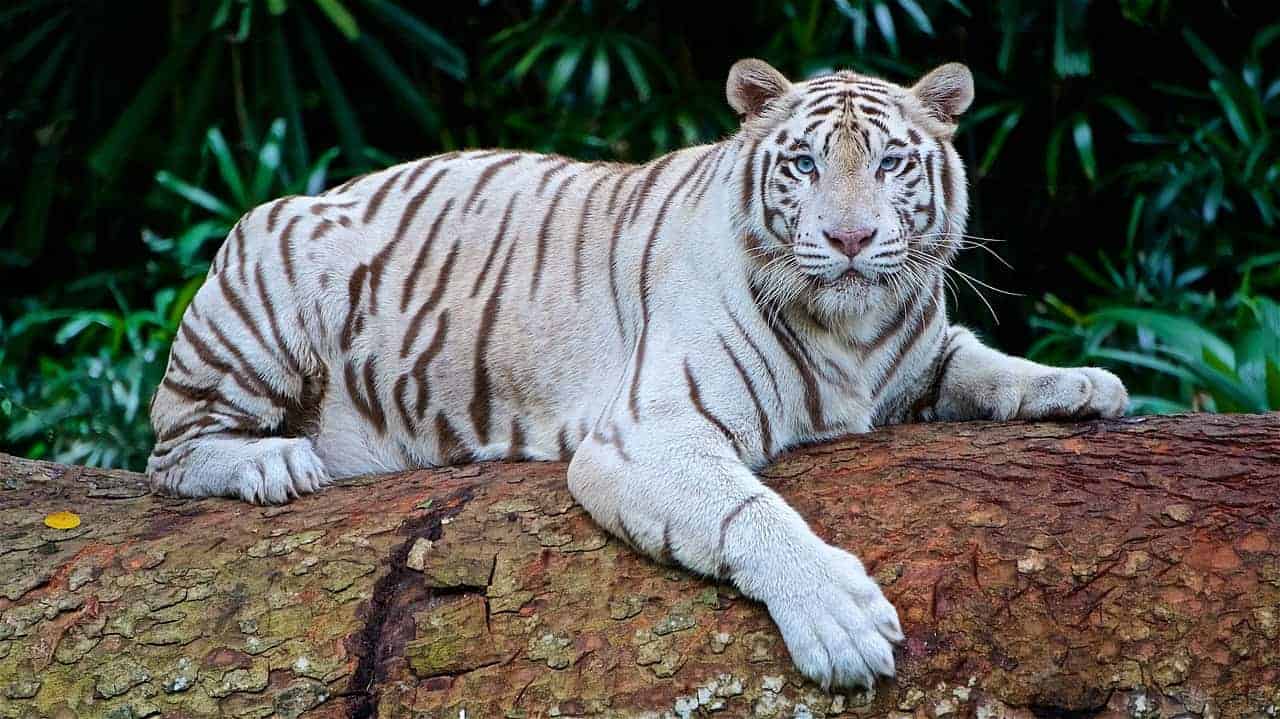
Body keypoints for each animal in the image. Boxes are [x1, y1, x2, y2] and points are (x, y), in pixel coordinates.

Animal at [152, 58, 1131, 685]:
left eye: (891, 162)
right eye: (805, 163)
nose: (850, 238)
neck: (852, 330)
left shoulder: (919, 354)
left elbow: (984, 362)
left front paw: (1085, 382)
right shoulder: (648, 433)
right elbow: (750, 512)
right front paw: (841, 620)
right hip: (265, 284)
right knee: (171, 450)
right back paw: (272, 462)